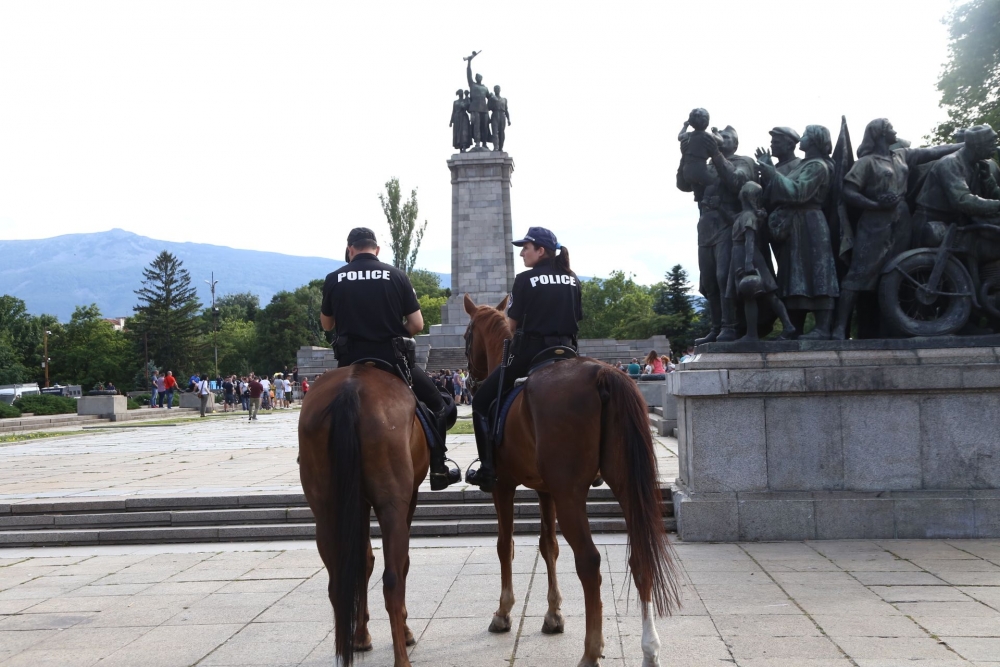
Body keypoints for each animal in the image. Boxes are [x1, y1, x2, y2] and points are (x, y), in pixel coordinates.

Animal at [294, 366, 424, 667]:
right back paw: (402, 658)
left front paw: (361, 636)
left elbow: (362, 562)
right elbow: (400, 564)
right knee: (392, 579)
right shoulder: (408, 499)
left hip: (327, 512)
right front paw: (404, 629)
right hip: (392, 506)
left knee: (337, 582)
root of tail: (350, 389)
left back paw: (345, 650)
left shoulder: (358, 504)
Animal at [464, 296, 684, 667]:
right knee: (640, 557)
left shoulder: (503, 485)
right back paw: (650, 649)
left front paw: (504, 612)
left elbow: (505, 546)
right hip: (625, 484)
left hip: (570, 495)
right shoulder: (546, 489)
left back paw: (591, 651)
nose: (470, 383)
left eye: (467, 337)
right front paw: (553, 615)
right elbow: (548, 546)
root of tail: (603, 372)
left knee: (590, 562)